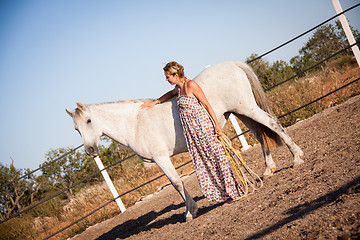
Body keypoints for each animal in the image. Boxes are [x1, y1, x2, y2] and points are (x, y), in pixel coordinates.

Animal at [65, 61, 304, 220]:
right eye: (76, 129)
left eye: (88, 121)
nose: (91, 150)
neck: (135, 122)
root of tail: (231, 64)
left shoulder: (161, 158)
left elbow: (176, 183)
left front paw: (191, 211)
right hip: (241, 112)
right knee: (261, 135)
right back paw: (268, 169)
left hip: (247, 108)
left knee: (273, 124)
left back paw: (297, 158)